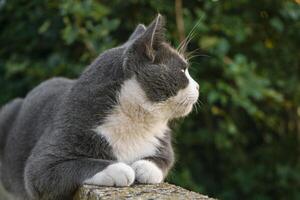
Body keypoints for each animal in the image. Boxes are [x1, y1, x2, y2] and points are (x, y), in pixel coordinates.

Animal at [0, 14, 199, 200]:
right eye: (183, 70)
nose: (197, 86)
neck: (135, 120)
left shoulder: (162, 140)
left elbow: (165, 159)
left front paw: (143, 167)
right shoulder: (46, 158)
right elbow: (63, 167)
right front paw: (119, 169)